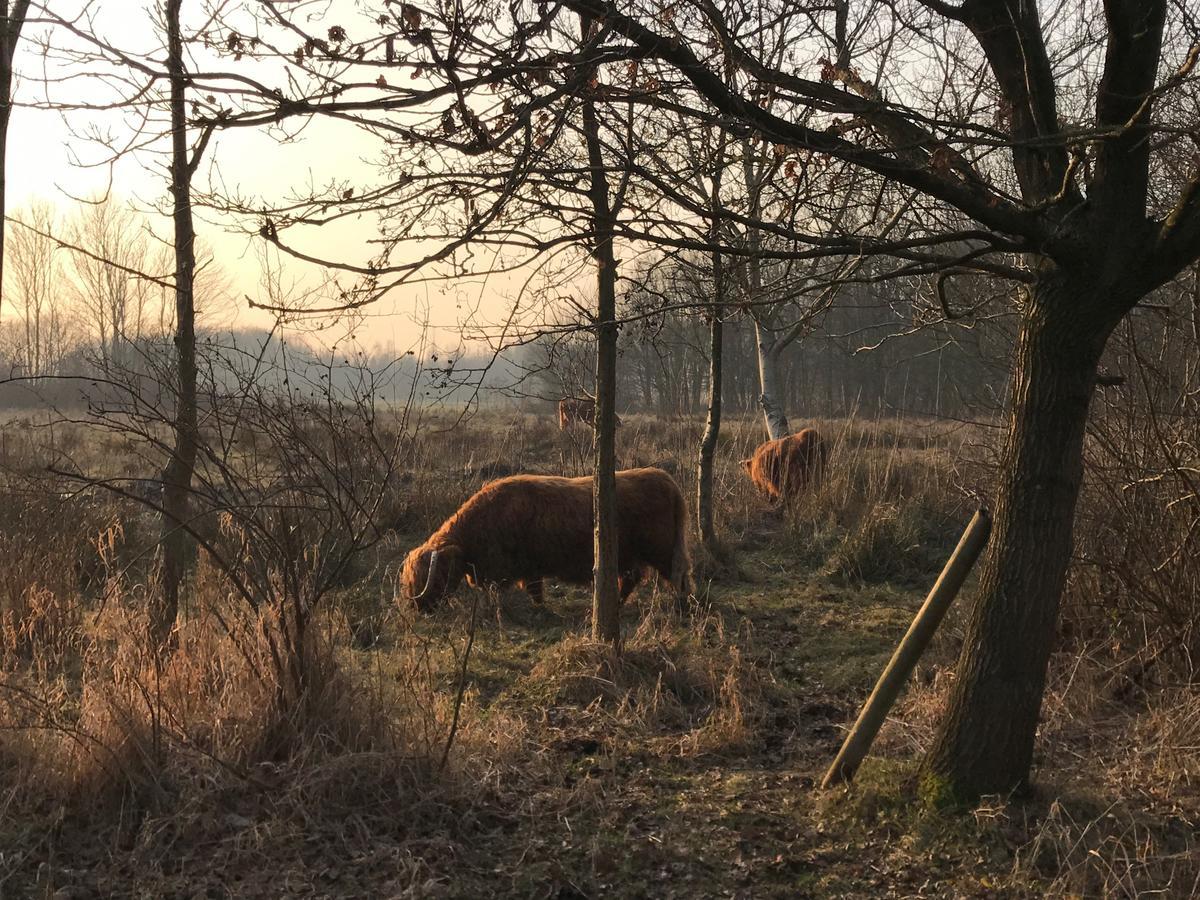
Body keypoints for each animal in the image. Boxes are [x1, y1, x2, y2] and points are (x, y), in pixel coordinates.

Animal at [400, 472, 696, 614]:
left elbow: (525, 591)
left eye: (434, 576)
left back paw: (684, 605)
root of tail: (666, 480)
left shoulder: (510, 569)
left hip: (662, 550)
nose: (418, 607)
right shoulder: (530, 568)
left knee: (679, 576)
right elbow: (535, 591)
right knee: (632, 579)